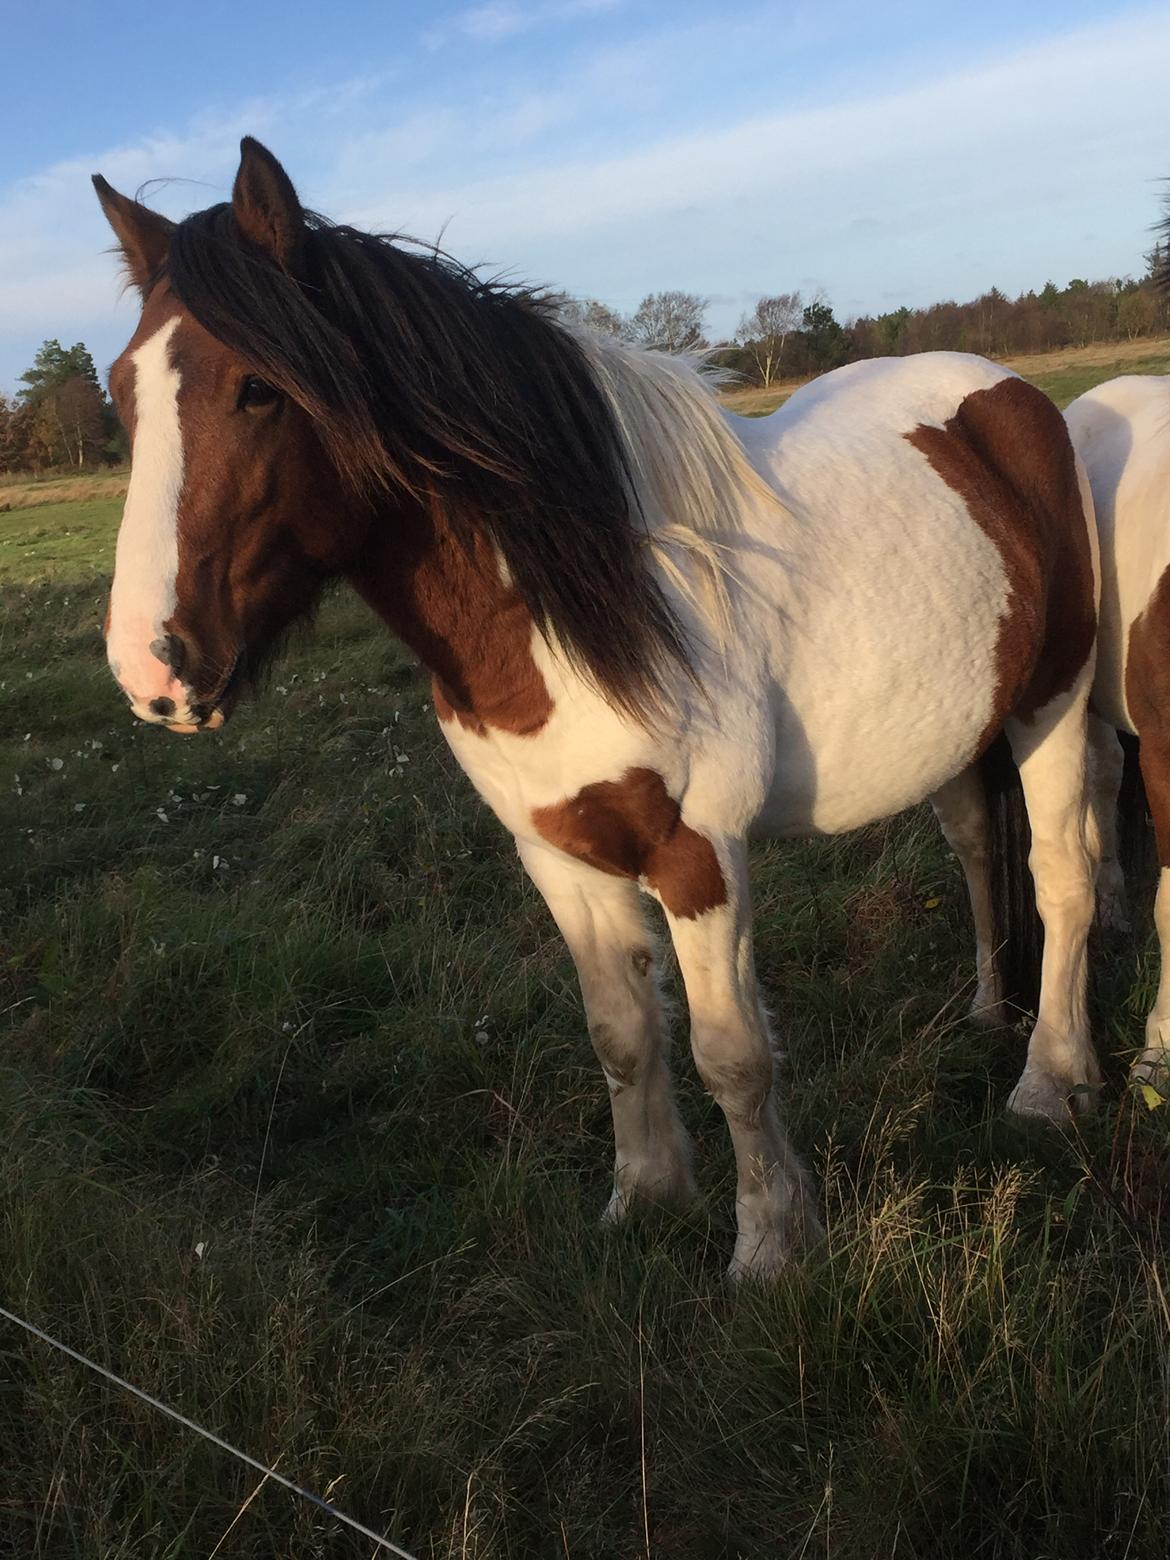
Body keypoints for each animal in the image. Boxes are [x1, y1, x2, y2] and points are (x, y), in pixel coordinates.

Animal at [93, 137, 1110, 1279]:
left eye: (259, 390)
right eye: (122, 395)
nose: (152, 668)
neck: (567, 617)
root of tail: (1007, 394)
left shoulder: (696, 853)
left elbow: (731, 1054)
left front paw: (769, 1247)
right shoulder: (559, 852)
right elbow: (622, 1035)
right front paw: (647, 1200)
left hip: (1052, 701)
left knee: (1064, 877)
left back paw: (1050, 1081)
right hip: (959, 734)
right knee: (980, 849)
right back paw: (988, 1014)